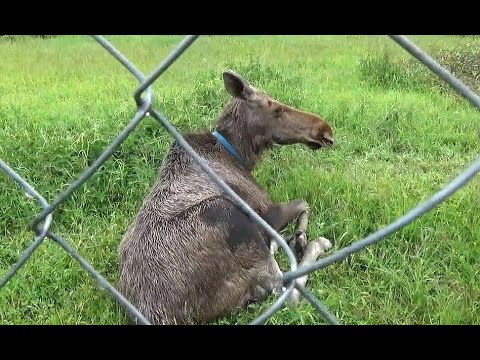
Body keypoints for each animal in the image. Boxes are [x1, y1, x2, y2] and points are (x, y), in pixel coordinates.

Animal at [117, 70, 334, 326]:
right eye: (277, 109)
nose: (325, 130)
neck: (240, 156)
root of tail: (155, 315)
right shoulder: (265, 211)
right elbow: (303, 202)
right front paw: (299, 237)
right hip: (230, 216)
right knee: (285, 291)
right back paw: (314, 245)